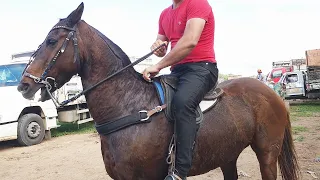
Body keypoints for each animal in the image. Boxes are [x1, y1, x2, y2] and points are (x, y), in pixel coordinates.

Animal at [16, 2, 300, 180]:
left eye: (51, 41)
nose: (24, 85)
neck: (128, 105)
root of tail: (272, 94)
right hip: (227, 154)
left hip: (267, 153)